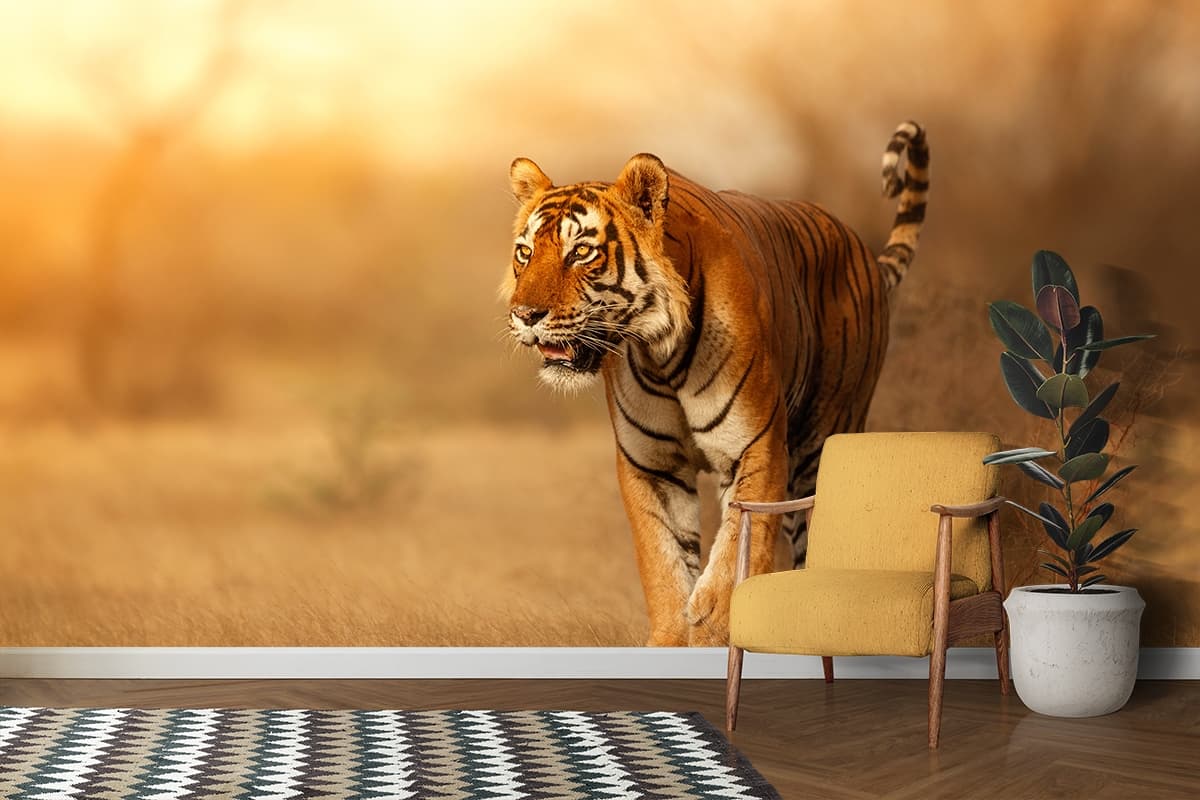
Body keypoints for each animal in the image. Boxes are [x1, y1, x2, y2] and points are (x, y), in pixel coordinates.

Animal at [501, 121, 929, 646]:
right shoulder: (652, 465)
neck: (659, 352)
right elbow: (663, 564)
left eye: (581, 251)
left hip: (824, 441)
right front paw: (672, 636)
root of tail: (862, 249)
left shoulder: (757, 448)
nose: (525, 315)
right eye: (525, 253)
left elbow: (736, 558)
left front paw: (714, 624)